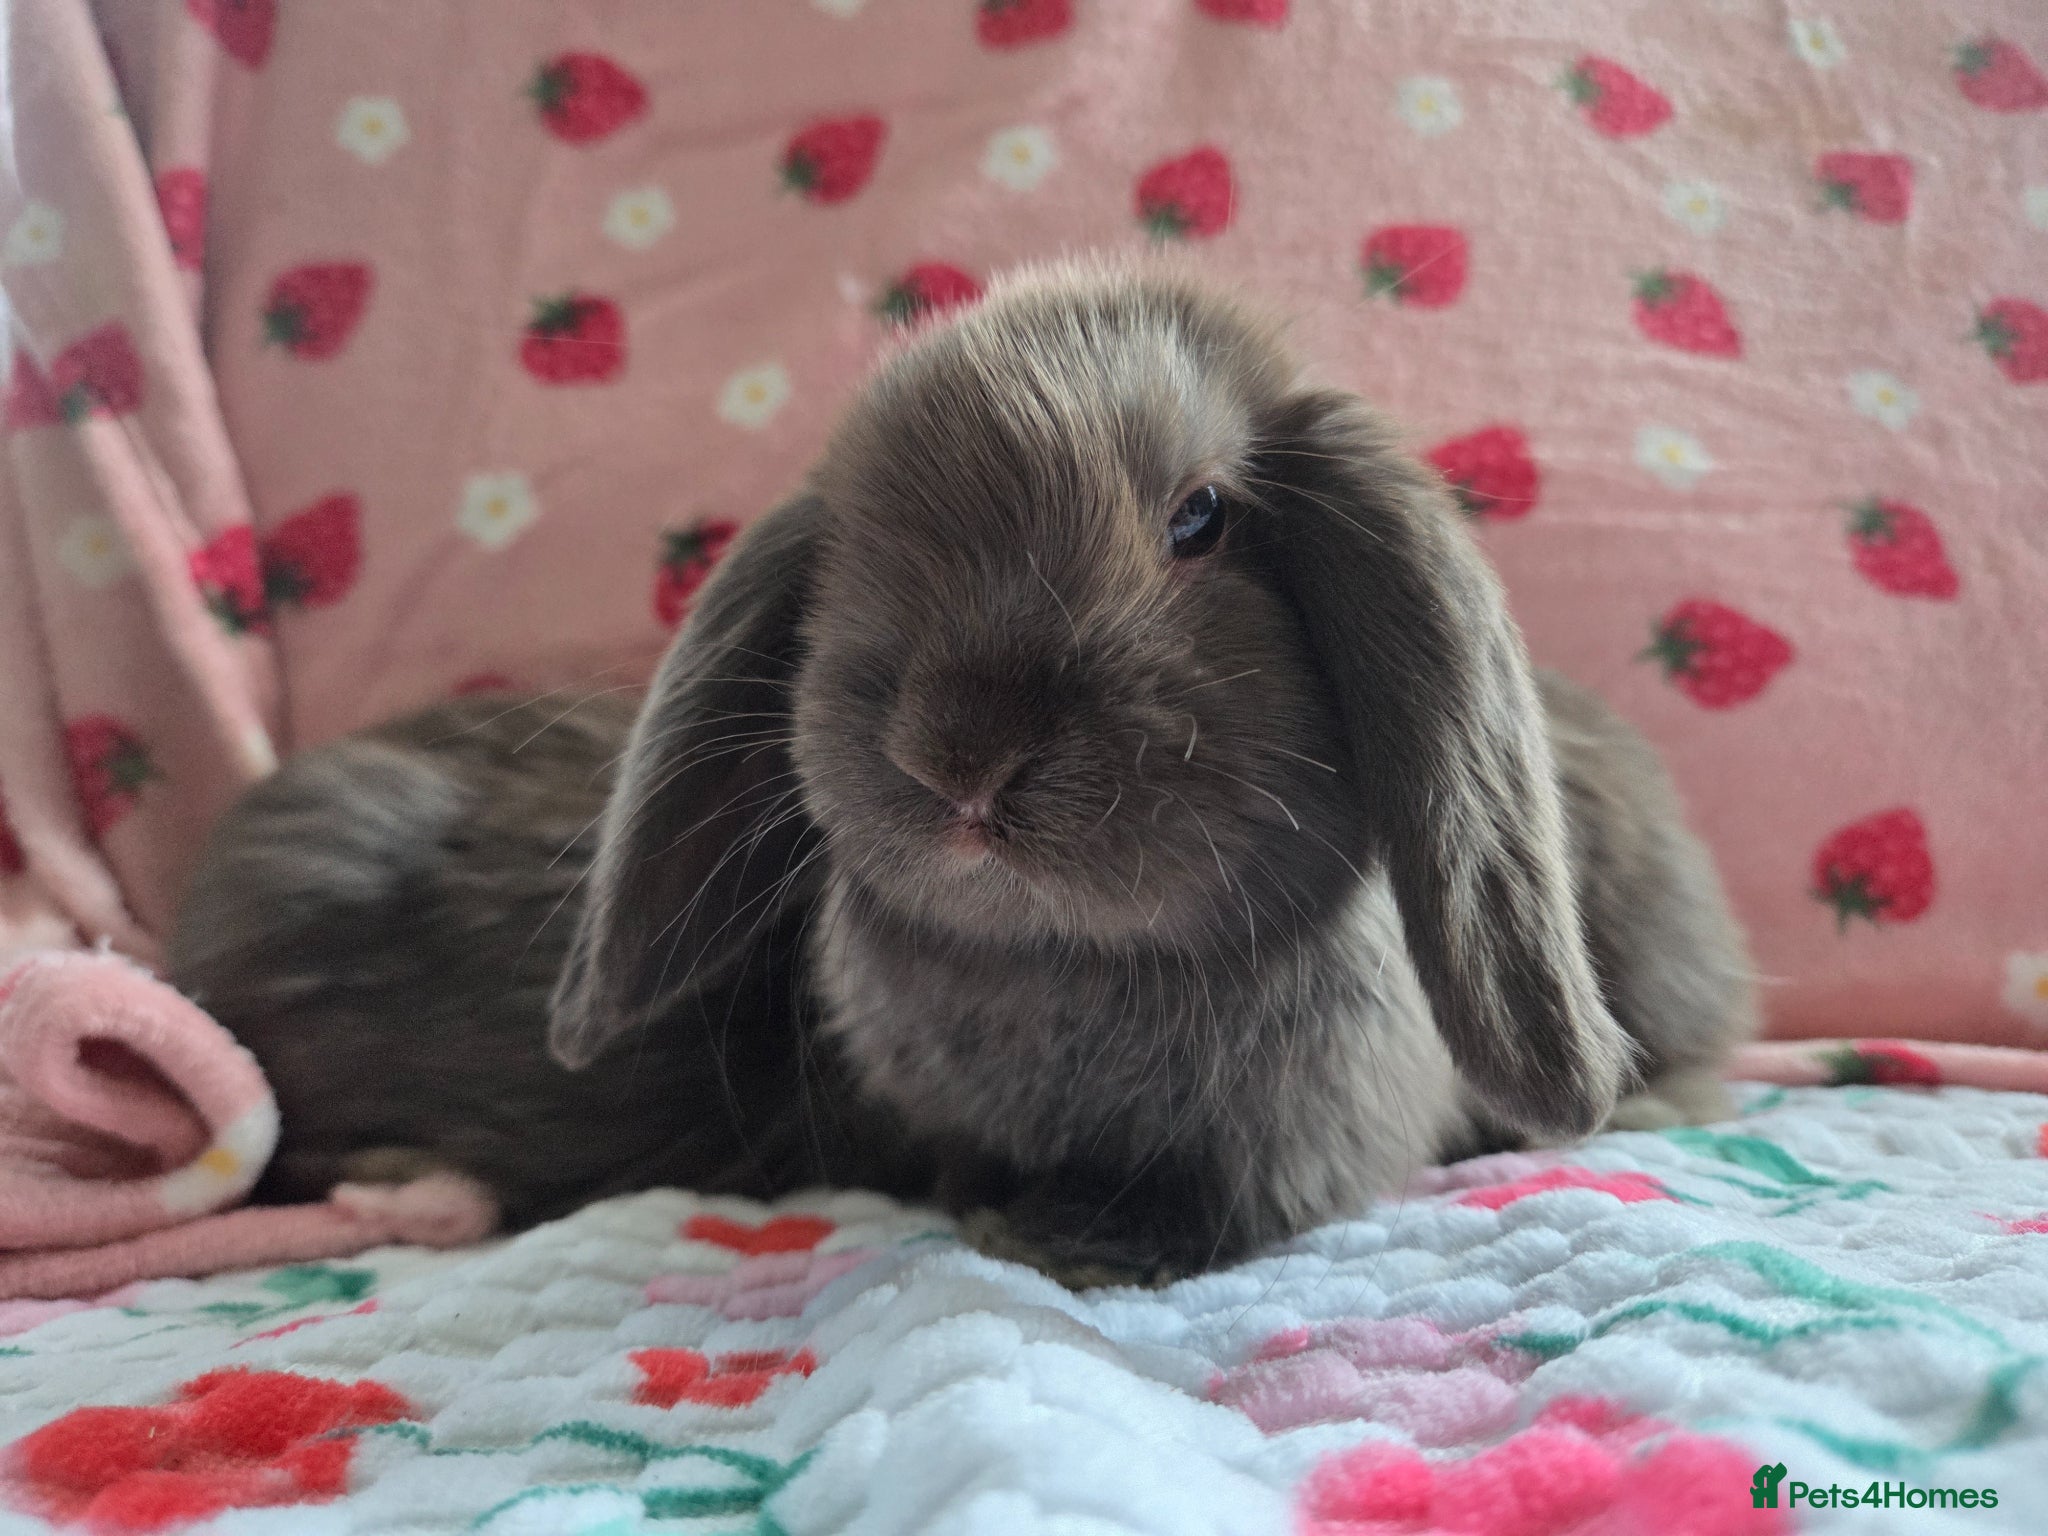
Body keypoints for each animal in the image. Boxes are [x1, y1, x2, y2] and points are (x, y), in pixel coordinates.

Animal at [548, 257, 1758, 1280]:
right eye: (851, 548)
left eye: (1199, 519)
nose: (960, 758)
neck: (1070, 958)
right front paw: (993, 1209)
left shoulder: (1300, 1125)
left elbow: (1227, 1202)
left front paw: (1076, 1245)